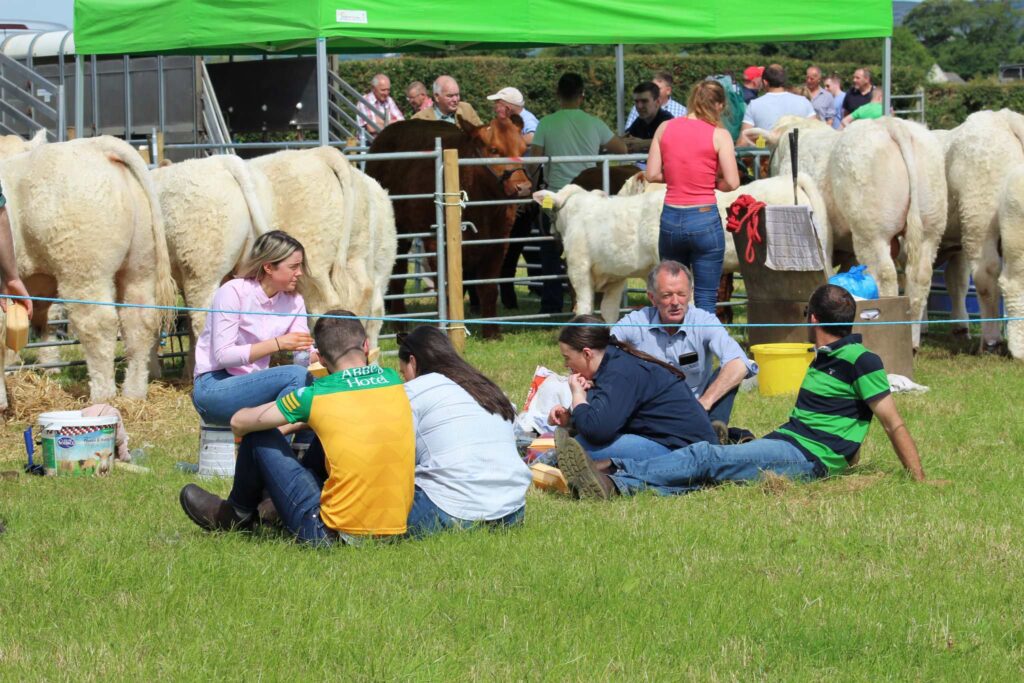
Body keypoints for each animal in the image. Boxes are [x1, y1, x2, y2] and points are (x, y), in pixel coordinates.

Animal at [0, 136, 176, 409]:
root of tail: (101, 145)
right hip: (141, 265)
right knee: (139, 321)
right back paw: (133, 394)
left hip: (83, 269)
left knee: (98, 324)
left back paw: (102, 396)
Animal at [366, 119, 528, 339]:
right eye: (494, 149)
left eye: (524, 149)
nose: (524, 187)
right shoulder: (436, 242)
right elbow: (447, 288)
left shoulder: (498, 242)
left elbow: (488, 288)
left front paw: (492, 333)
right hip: (397, 229)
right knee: (398, 274)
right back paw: (400, 324)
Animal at [536, 171, 831, 321]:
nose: (550, 231)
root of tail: (790, 179)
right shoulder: (614, 277)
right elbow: (607, 311)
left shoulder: (578, 269)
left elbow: (584, 306)